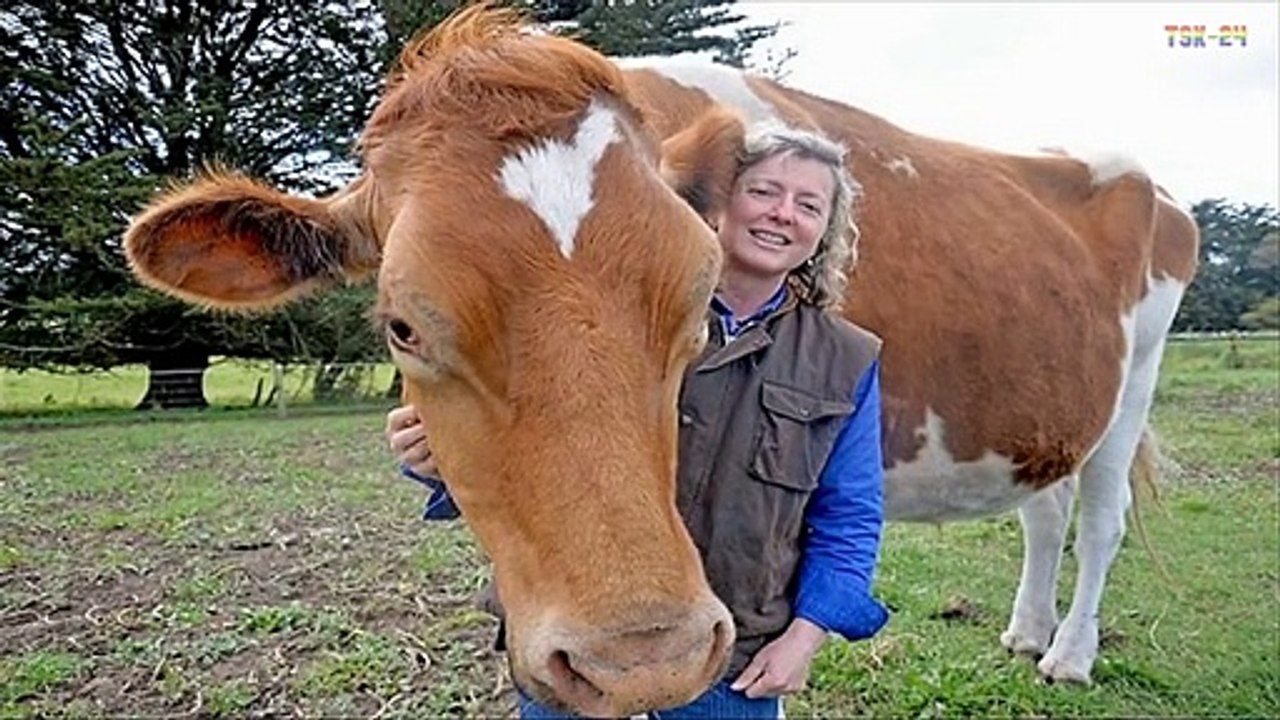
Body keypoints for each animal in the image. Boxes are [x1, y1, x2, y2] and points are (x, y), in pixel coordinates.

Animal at [121, 5, 1199, 717]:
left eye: (698, 296)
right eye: (401, 326)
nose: (644, 655)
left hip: (1136, 379)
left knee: (1099, 523)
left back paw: (1067, 655)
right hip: (1046, 409)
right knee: (1044, 511)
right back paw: (1024, 632)